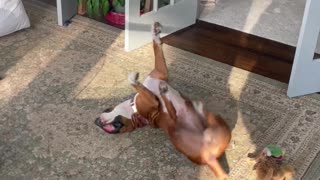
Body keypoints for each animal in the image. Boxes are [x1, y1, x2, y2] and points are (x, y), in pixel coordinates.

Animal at [94, 22, 231, 179]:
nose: (98, 123)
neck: (134, 111)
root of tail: (209, 159)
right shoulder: (154, 100)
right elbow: (136, 82)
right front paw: (134, 79)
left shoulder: (159, 73)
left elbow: (156, 47)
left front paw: (155, 33)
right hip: (181, 127)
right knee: (172, 111)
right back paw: (169, 94)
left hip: (216, 122)